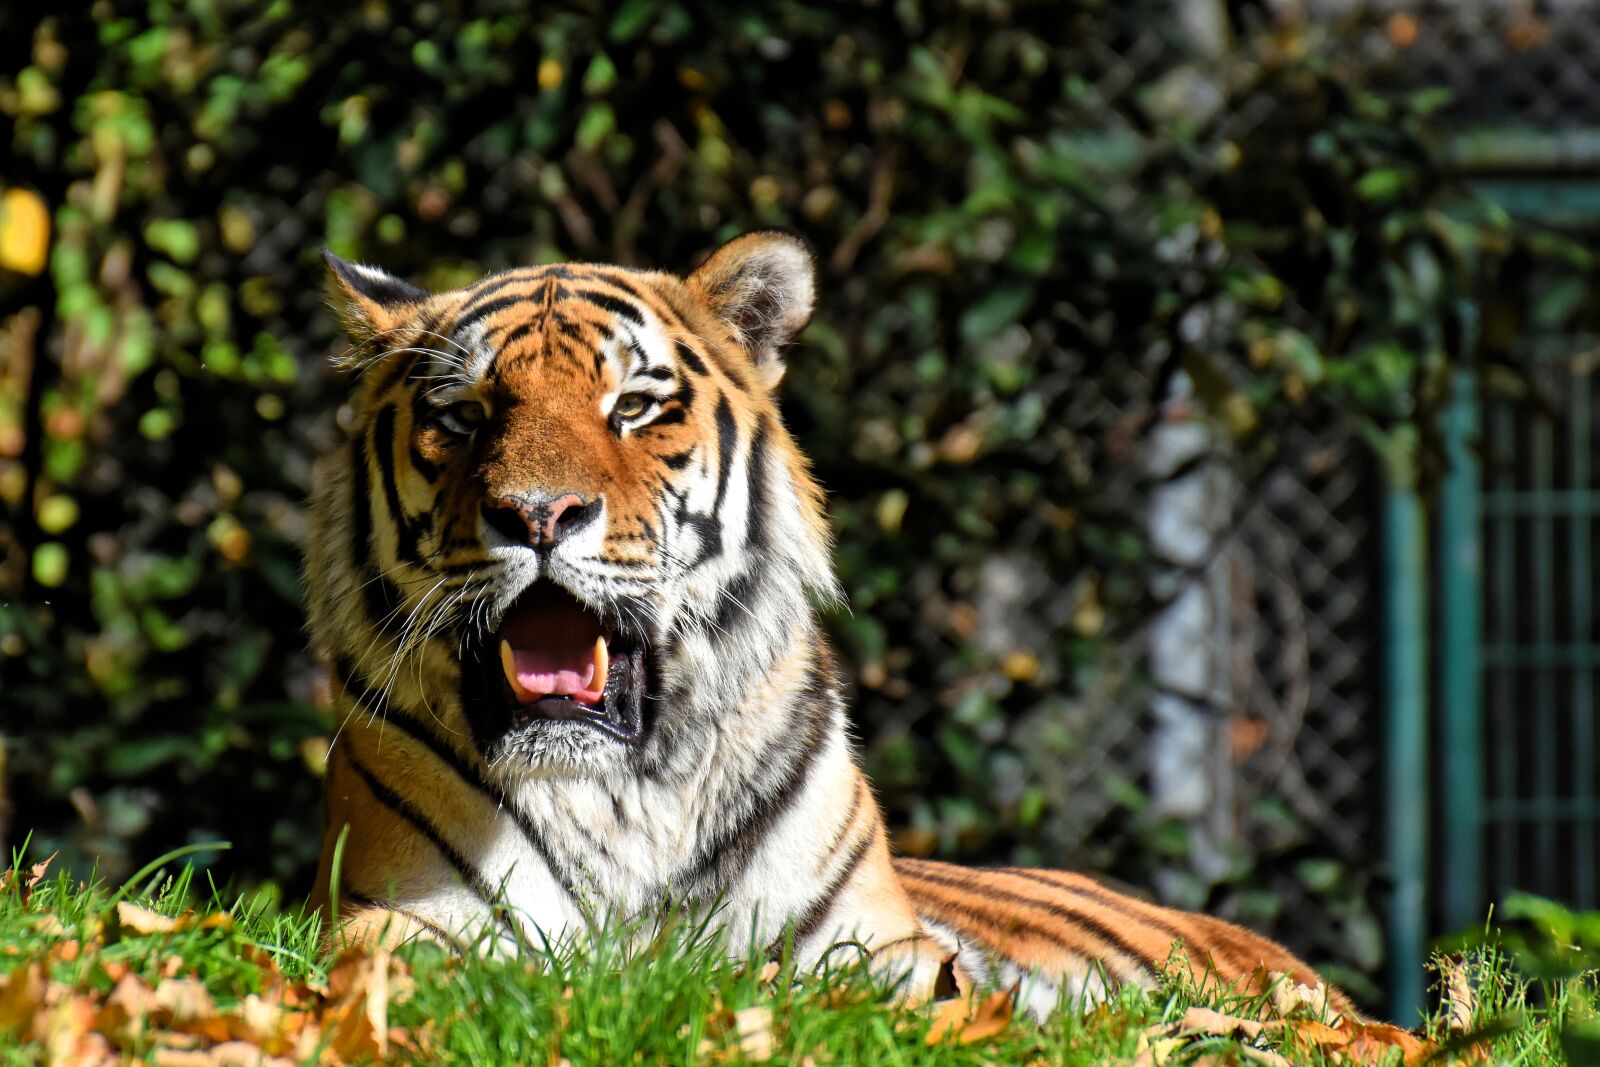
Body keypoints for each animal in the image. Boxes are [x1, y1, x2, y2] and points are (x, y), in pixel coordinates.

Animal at [305, 231, 1356, 1020]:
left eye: (635, 406)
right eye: (462, 414)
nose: (537, 513)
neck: (620, 794)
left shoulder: (880, 946)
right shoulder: (394, 919)